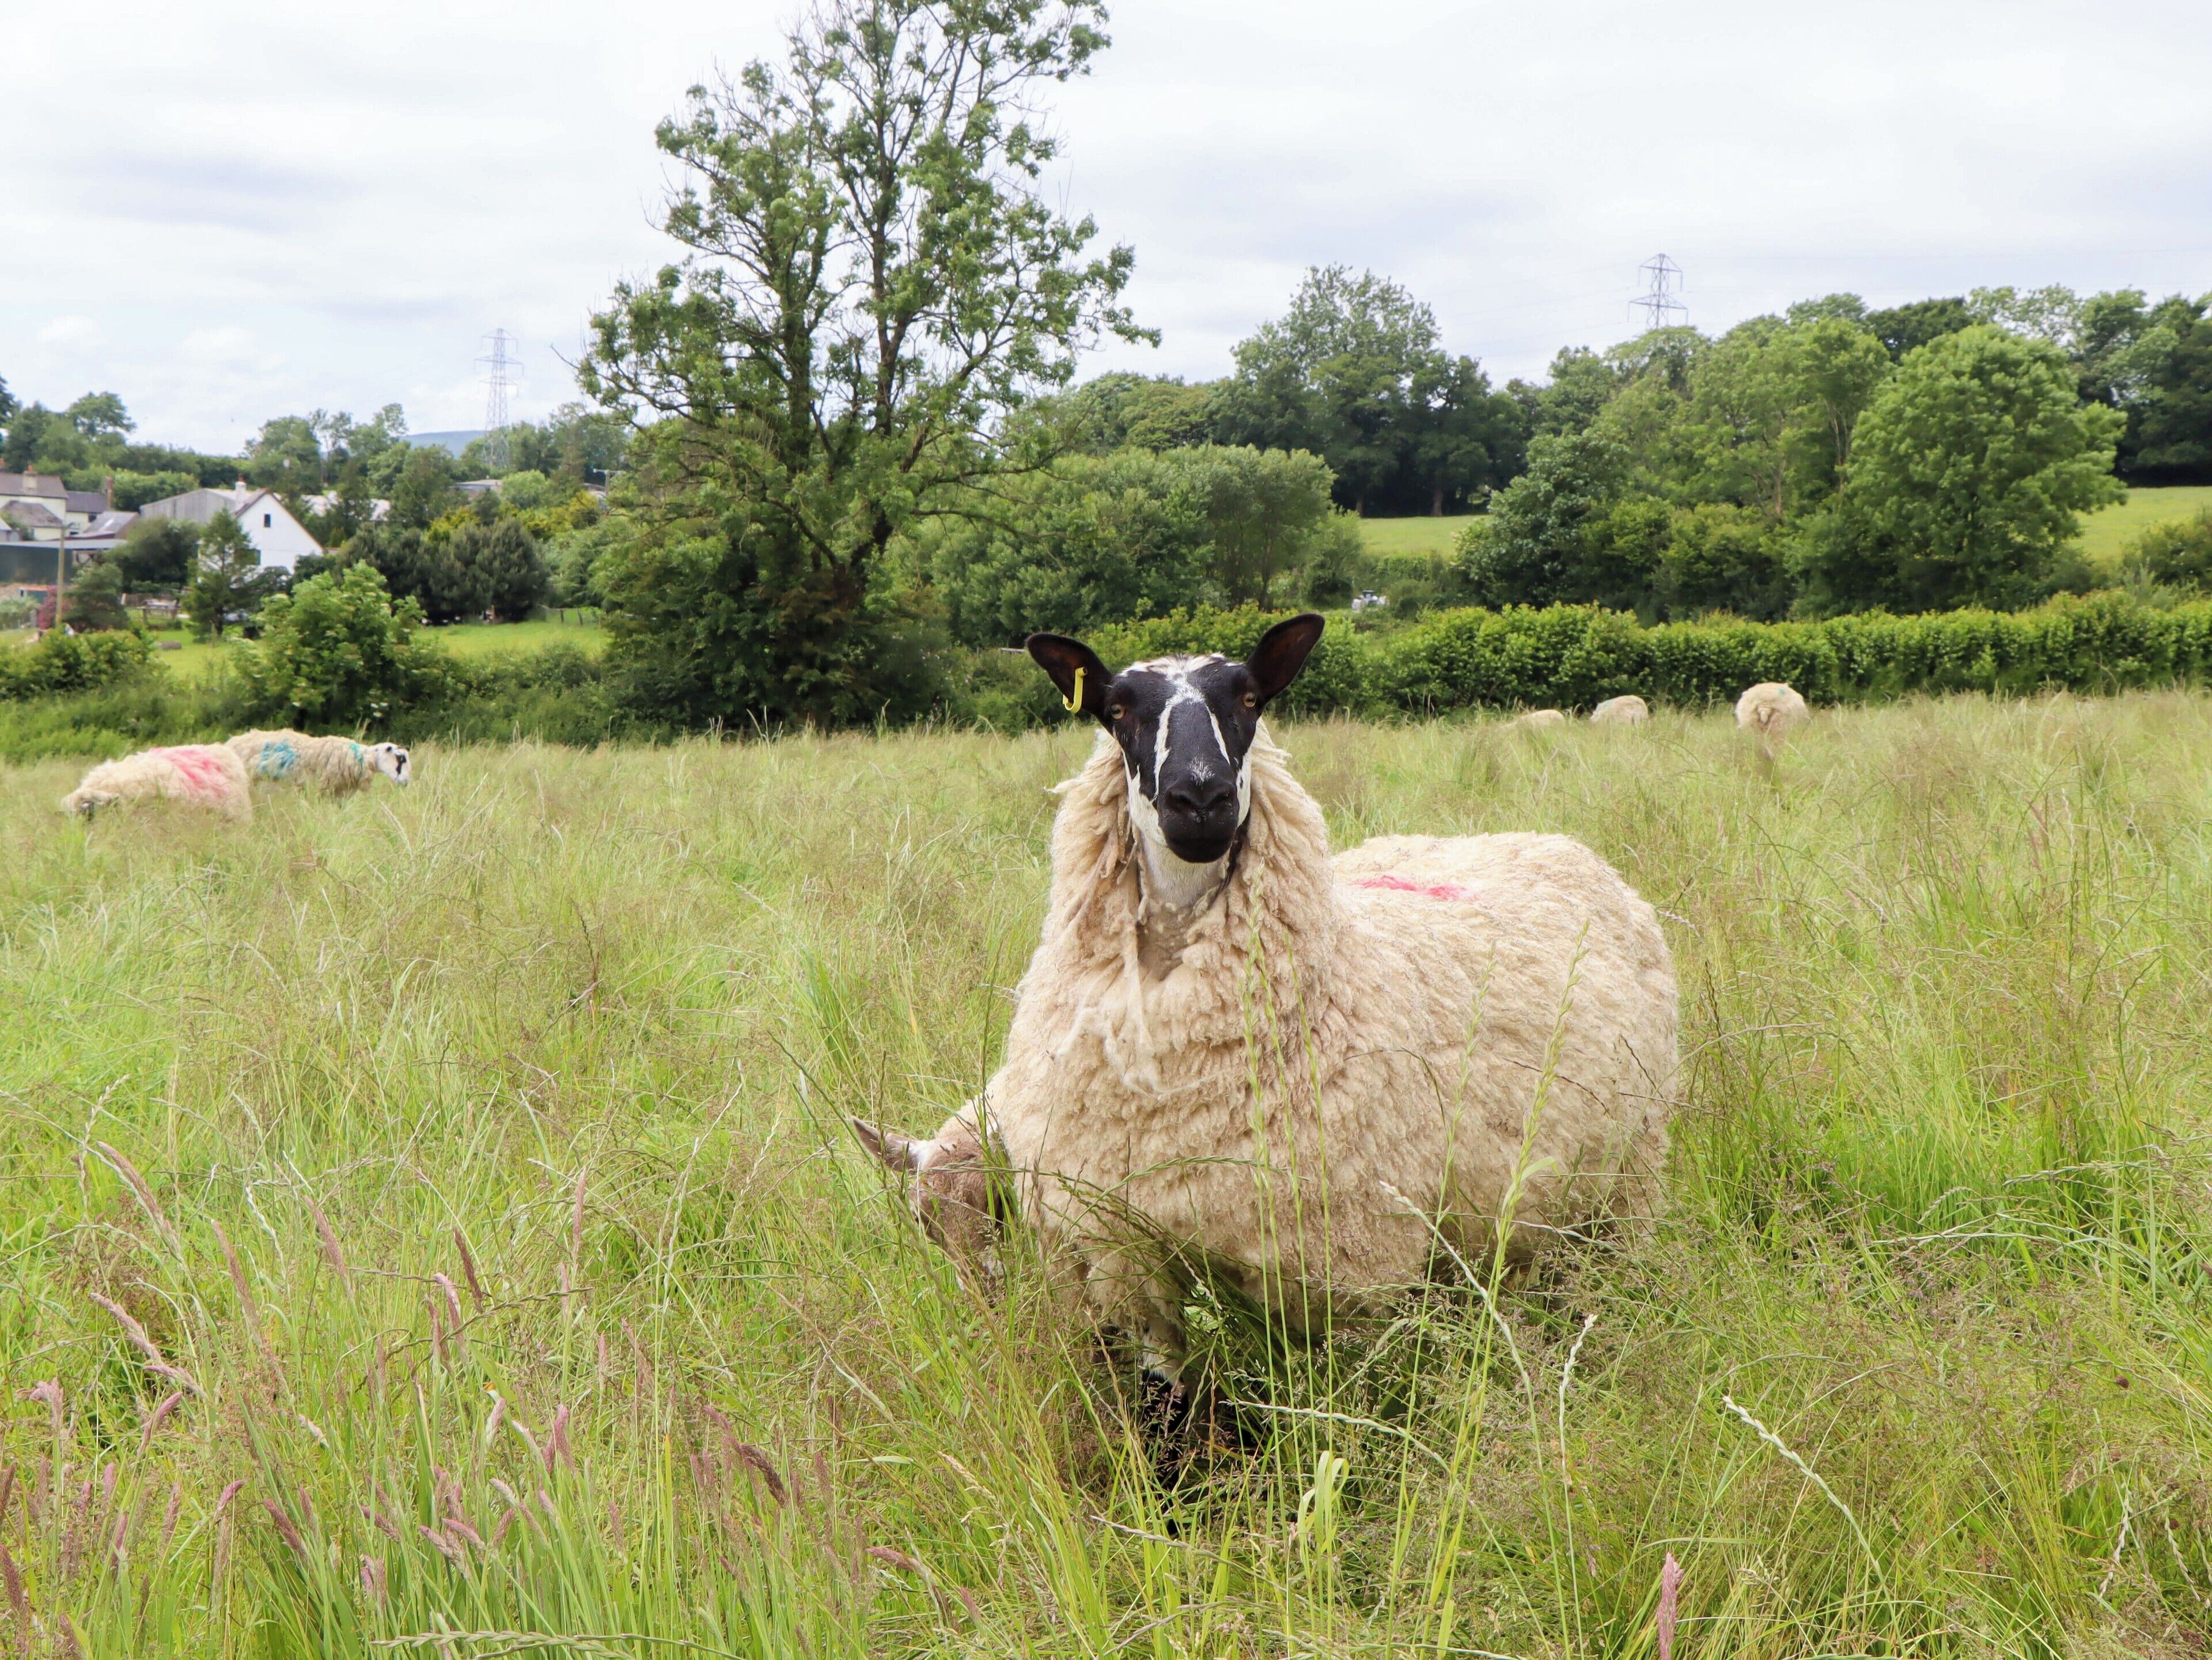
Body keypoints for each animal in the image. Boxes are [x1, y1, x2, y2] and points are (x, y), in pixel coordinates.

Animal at [225, 730, 412, 795]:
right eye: (400, 759)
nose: (406, 782)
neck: (364, 758)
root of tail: (230, 742)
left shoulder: (340, 793)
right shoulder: (324, 788)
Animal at [860, 616, 1678, 1397]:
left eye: (1250, 699)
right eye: (1116, 708)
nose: (1201, 799)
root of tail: (1552, 843)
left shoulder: (1350, 1262)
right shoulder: (1127, 1255)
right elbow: (1167, 1403)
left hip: (1628, 1181)